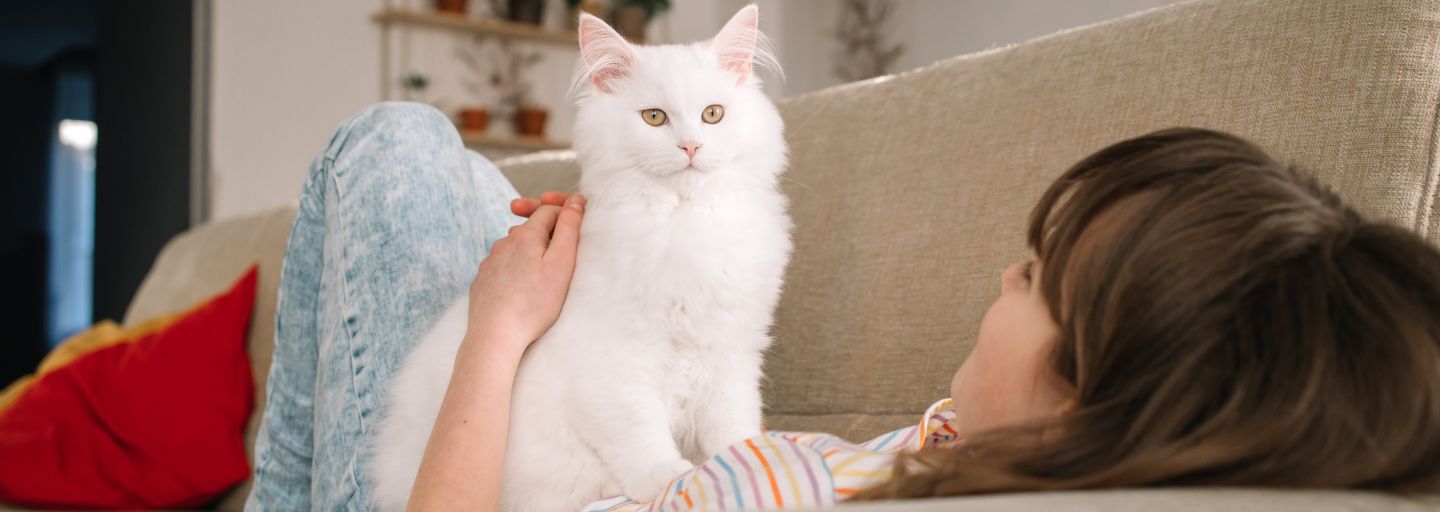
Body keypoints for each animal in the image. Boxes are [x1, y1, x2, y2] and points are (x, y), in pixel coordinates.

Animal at [365, 4, 794, 512]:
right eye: (654, 117)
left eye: (713, 114)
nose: (690, 146)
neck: (684, 223)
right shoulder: (614, 361)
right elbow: (639, 433)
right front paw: (668, 479)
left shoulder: (730, 355)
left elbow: (732, 427)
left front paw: (748, 456)